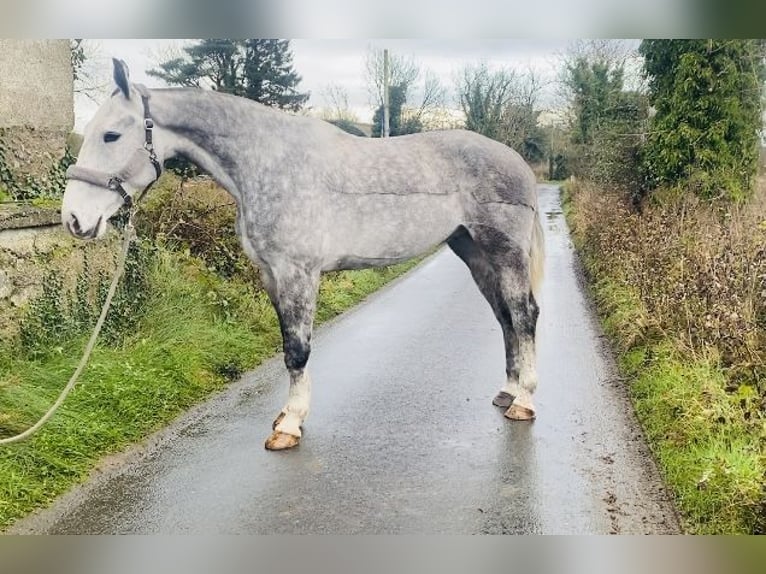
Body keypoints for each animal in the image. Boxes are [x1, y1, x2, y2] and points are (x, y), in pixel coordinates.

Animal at [63, 60, 544, 452]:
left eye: (111, 134)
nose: (74, 218)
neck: (267, 164)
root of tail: (517, 161)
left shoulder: (298, 273)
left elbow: (298, 350)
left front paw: (290, 425)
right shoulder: (272, 275)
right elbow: (287, 347)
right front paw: (286, 415)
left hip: (505, 252)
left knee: (523, 315)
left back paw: (523, 401)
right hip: (473, 251)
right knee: (504, 316)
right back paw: (508, 390)